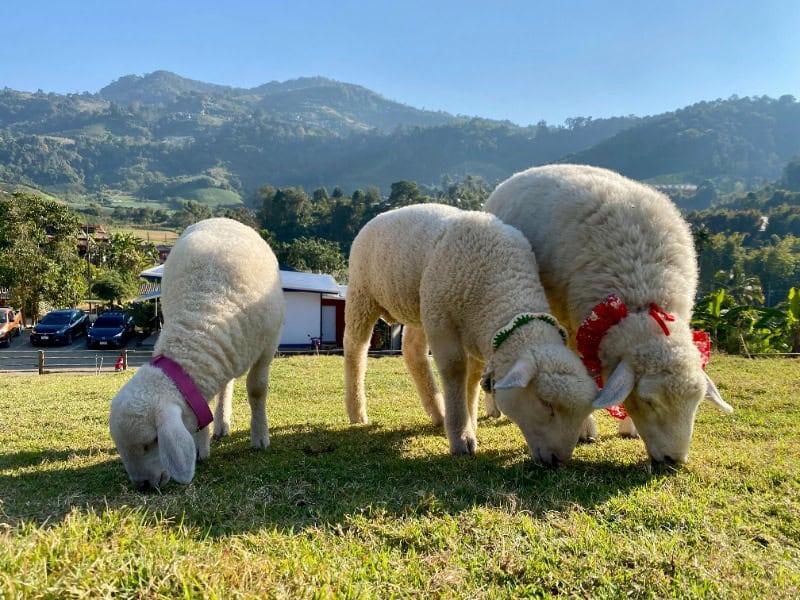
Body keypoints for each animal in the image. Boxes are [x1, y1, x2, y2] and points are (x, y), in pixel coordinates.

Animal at [109, 217, 285, 489]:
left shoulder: (267, 347)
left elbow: (256, 391)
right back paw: (221, 425)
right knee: (225, 386)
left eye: (151, 442)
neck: (201, 320)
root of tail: (221, 218)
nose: (143, 485)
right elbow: (203, 406)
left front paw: (260, 437)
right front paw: (201, 446)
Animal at [344, 203, 597, 466]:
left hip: (421, 306)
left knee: (412, 351)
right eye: (546, 404)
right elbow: (455, 370)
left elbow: (473, 377)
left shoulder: (468, 328)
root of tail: (383, 214)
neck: (502, 285)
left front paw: (470, 421)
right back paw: (357, 411)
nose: (559, 460)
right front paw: (461, 437)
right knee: (355, 349)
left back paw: (438, 413)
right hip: (363, 294)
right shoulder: (442, 319)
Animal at [484, 164, 733, 464]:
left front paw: (628, 428)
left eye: (697, 402)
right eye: (649, 401)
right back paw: (492, 408)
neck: (643, 295)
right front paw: (585, 430)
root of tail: (519, 174)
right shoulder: (575, 324)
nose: (675, 461)